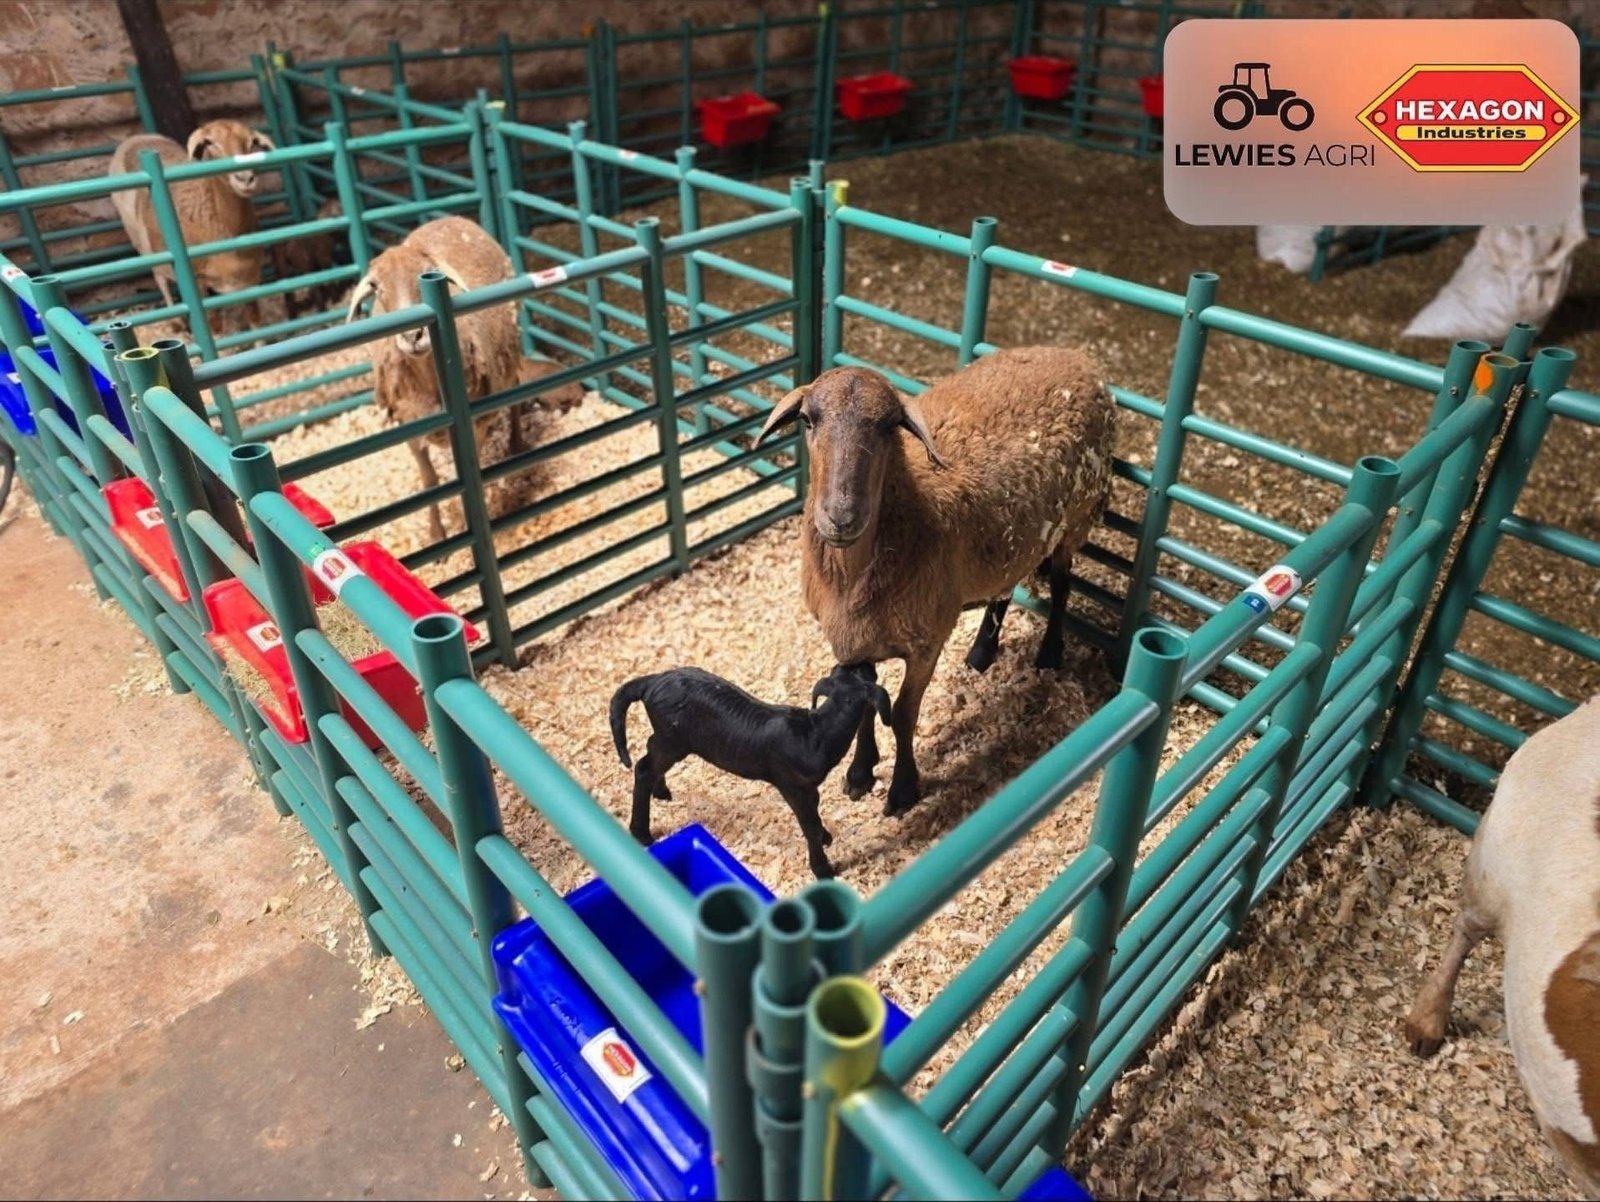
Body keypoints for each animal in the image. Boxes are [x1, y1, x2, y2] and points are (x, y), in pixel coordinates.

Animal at [110, 120, 274, 335]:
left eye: (253, 142)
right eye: (209, 142)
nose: (245, 178)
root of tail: (134, 139)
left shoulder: (250, 278)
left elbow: (256, 324)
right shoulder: (200, 284)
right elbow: (215, 327)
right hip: (143, 245)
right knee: (160, 278)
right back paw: (176, 321)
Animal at [344, 216, 569, 543]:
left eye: (426, 274)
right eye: (375, 287)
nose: (412, 336)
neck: (429, 382)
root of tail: (451, 218)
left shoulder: (474, 424)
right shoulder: (408, 425)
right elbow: (430, 481)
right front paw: (436, 533)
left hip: (508, 351)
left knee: (513, 394)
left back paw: (515, 444)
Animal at [609, 663, 893, 879]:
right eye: (864, 673)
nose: (867, 663)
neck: (815, 732)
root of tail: (653, 681)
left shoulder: (809, 787)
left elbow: (814, 812)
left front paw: (825, 837)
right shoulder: (791, 784)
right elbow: (809, 824)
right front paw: (823, 869)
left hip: (667, 738)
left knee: (649, 753)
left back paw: (661, 792)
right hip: (672, 739)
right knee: (643, 768)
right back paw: (641, 833)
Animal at [755, 346, 1116, 817]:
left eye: (889, 425)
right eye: (808, 420)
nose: (841, 516)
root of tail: (1076, 354)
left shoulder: (926, 641)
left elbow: (904, 714)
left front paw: (903, 790)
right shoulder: (856, 638)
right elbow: (864, 705)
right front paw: (860, 774)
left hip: (1073, 520)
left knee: (1061, 585)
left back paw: (1050, 653)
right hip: (1014, 538)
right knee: (1005, 588)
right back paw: (981, 652)